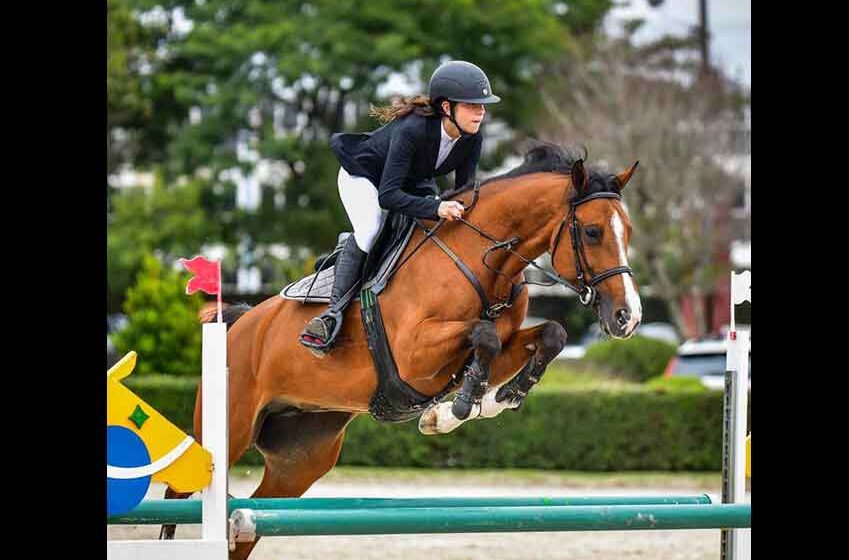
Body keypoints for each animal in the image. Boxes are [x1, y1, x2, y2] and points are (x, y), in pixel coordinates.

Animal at [162, 143, 640, 556]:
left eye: (628, 232)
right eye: (593, 232)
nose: (628, 317)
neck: (483, 259)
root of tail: (240, 323)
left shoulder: (494, 347)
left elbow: (549, 334)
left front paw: (494, 400)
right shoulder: (414, 355)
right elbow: (483, 334)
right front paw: (458, 408)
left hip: (301, 457)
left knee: (250, 522)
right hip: (230, 427)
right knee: (179, 493)